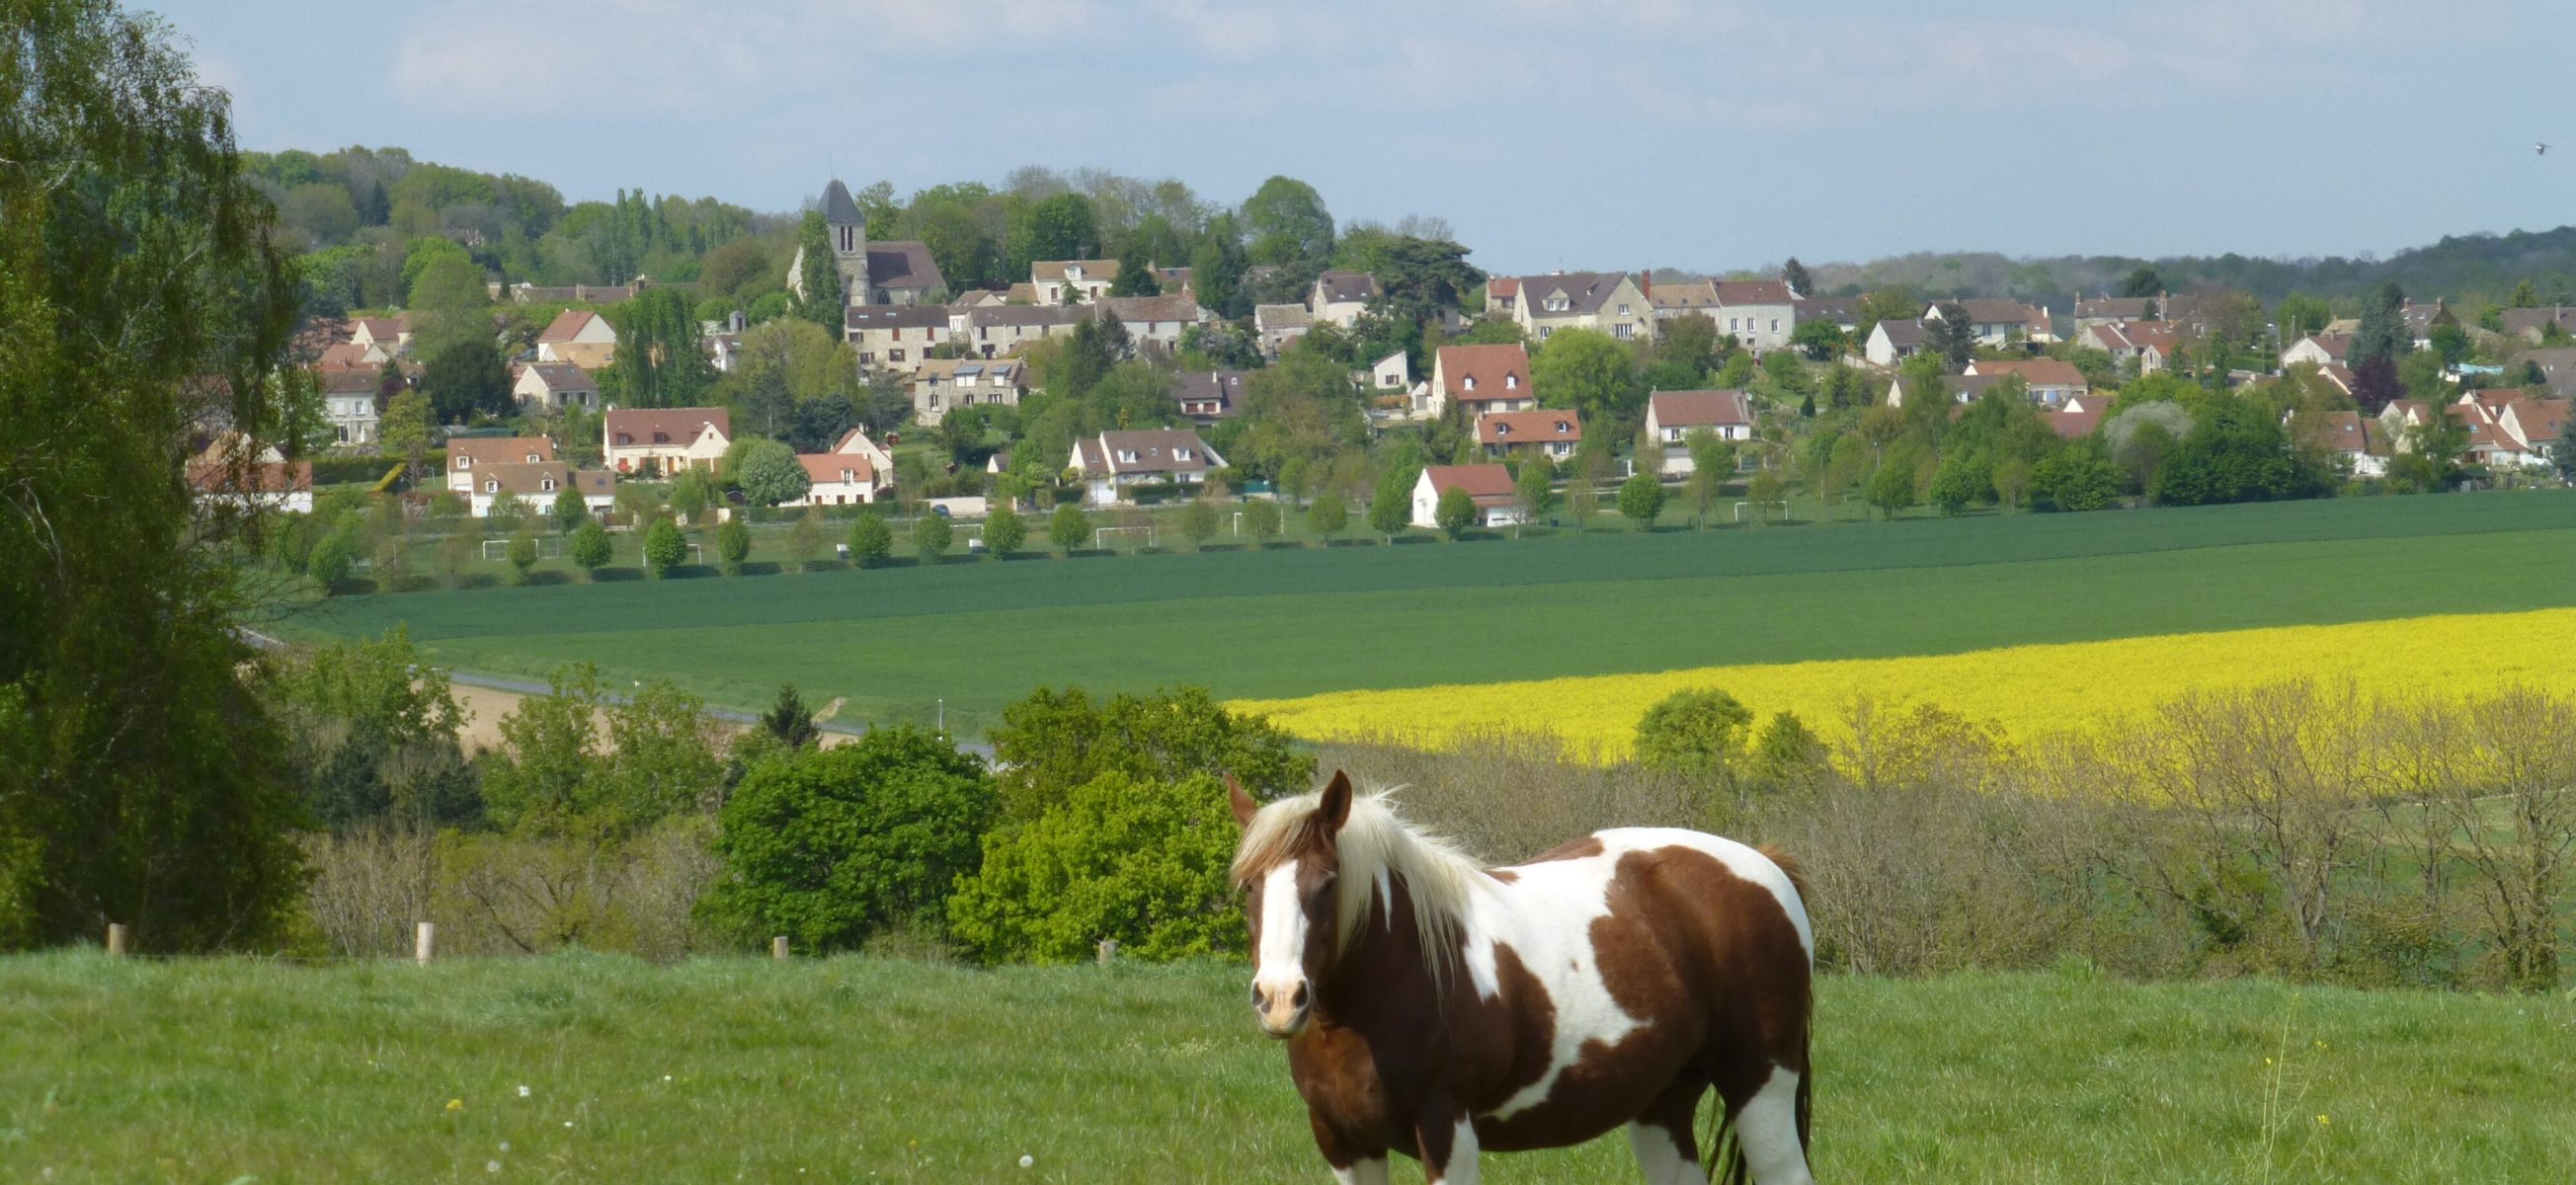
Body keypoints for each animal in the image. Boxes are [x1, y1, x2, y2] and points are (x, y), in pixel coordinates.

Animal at [1226, 772, 1813, 1179]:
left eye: (1328, 883)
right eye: (1251, 885)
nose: (1280, 1000)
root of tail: (1765, 865)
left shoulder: (1446, 1131)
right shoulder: (1343, 1141)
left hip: (1761, 1085)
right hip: (1661, 1106)